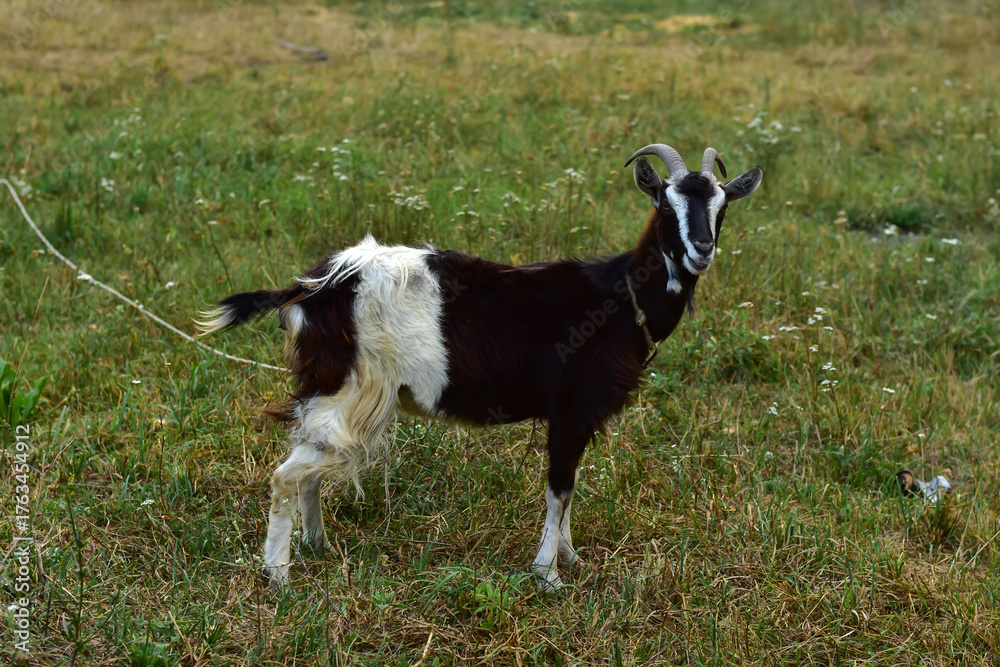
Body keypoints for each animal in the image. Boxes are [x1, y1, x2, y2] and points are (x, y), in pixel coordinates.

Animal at [199, 143, 763, 590]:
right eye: (665, 203)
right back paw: (279, 575)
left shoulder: (577, 417)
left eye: (722, 206)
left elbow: (571, 485)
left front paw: (572, 559)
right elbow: (560, 488)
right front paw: (548, 575)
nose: (701, 250)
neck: (622, 298)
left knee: (309, 464)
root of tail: (311, 286)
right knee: (286, 476)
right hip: (351, 387)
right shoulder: (570, 408)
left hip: (334, 388)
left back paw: (316, 546)